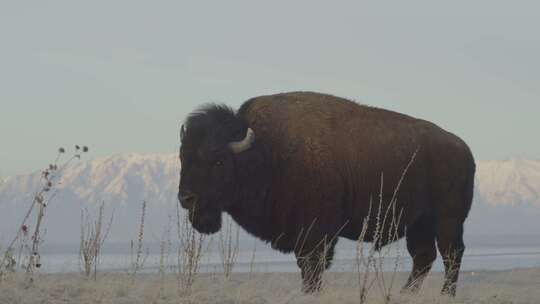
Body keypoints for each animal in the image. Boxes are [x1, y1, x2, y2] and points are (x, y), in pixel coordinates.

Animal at [179, 91, 474, 296]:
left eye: (218, 161)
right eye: (183, 157)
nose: (186, 198)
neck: (267, 151)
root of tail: (462, 148)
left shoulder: (315, 236)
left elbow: (311, 269)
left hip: (448, 220)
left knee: (451, 255)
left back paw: (445, 295)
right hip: (419, 224)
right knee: (424, 258)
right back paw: (405, 294)